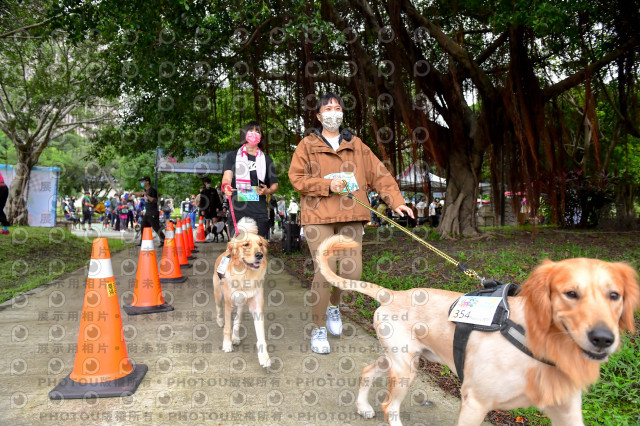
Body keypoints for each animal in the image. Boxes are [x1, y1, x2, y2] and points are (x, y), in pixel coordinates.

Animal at [211, 218, 268, 368]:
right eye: (246, 244)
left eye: (260, 244)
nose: (259, 255)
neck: (245, 275)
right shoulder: (228, 304)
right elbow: (227, 327)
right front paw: (227, 344)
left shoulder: (256, 307)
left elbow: (260, 335)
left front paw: (264, 357)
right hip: (218, 294)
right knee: (218, 308)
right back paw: (220, 321)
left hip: (241, 305)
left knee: (238, 320)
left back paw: (236, 337)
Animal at [316, 235, 640, 424]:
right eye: (570, 293)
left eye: (615, 295)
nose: (604, 339)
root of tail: (392, 293)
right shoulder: (474, 403)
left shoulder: (568, 412)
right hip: (405, 368)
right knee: (389, 406)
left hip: (402, 359)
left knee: (367, 371)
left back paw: (362, 406)